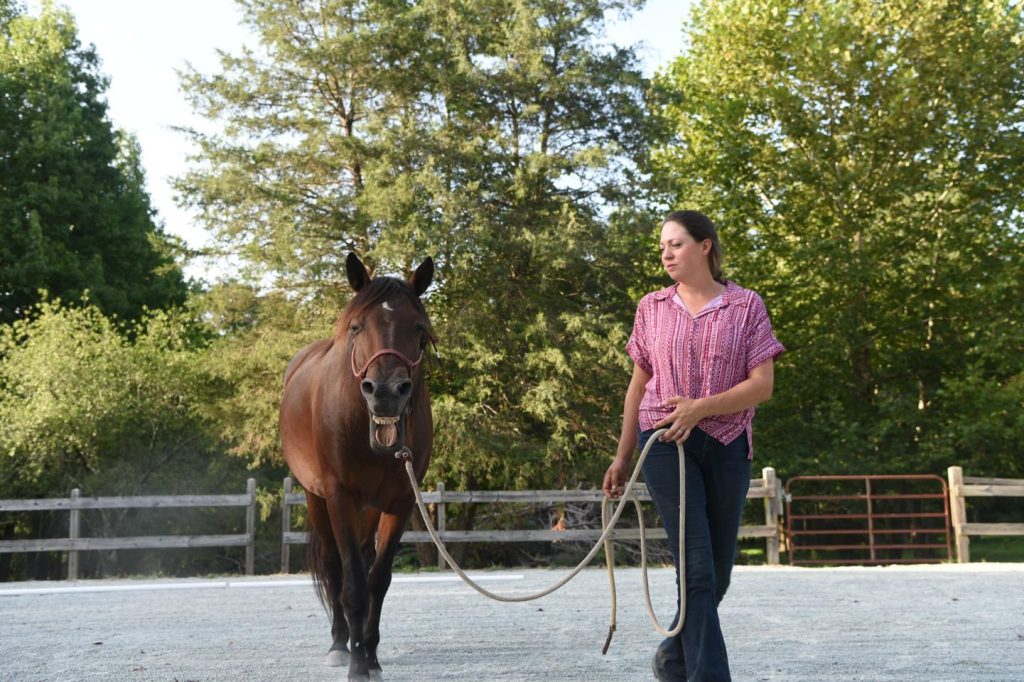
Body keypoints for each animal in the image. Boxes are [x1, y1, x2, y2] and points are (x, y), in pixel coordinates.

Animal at [280, 251, 436, 675]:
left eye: (418, 327)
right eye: (356, 326)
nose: (386, 391)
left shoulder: (400, 502)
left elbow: (377, 580)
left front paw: (371, 655)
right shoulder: (340, 496)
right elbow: (351, 583)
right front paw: (357, 667)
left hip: (369, 506)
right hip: (316, 498)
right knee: (334, 567)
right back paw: (340, 644)